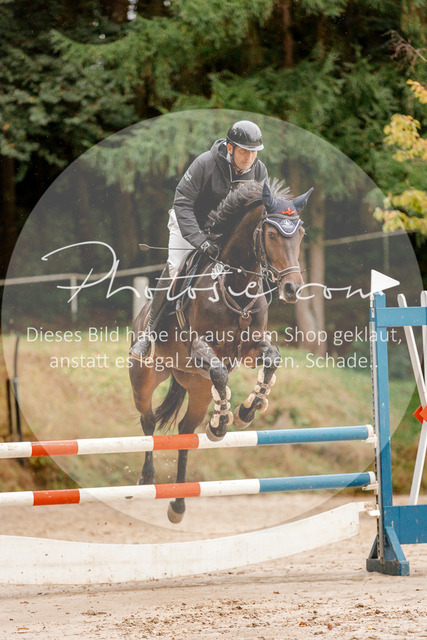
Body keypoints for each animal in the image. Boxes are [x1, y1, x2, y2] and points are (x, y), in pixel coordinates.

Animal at [129, 179, 312, 523]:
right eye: (271, 234)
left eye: (301, 234)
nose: (292, 288)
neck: (236, 284)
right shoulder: (200, 348)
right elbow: (219, 372)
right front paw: (222, 423)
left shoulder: (251, 349)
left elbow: (271, 360)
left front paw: (245, 411)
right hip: (145, 377)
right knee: (147, 421)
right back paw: (147, 479)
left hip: (197, 388)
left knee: (186, 431)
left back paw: (178, 504)